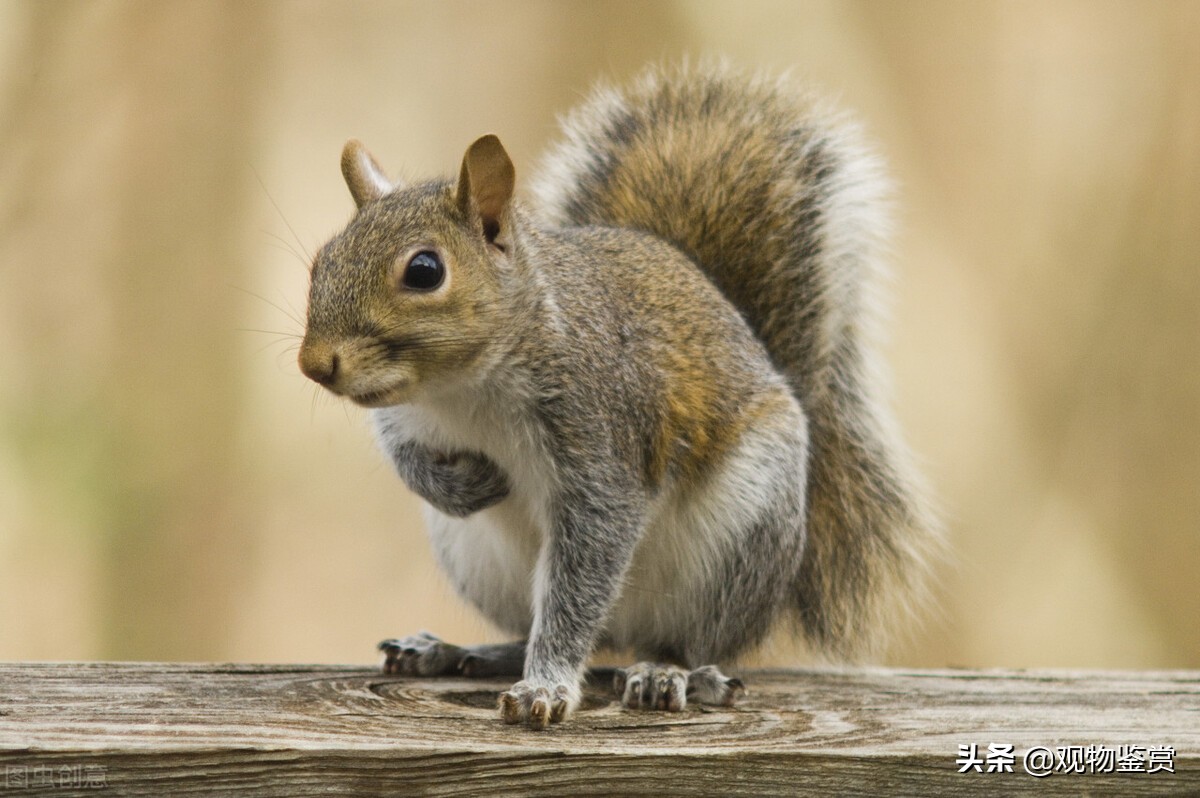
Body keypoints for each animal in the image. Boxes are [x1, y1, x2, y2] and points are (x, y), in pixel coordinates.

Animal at [297, 62, 936, 729]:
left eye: (424, 270)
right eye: (322, 261)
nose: (314, 364)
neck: (462, 389)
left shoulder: (601, 437)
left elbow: (586, 565)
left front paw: (547, 688)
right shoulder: (405, 416)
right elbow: (408, 460)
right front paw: (465, 484)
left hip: (739, 538)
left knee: (679, 640)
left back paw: (668, 672)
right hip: (478, 558)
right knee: (545, 628)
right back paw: (454, 650)